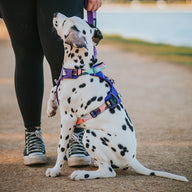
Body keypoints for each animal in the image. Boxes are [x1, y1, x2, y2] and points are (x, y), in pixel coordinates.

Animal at [45, 12, 188, 182]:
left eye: (65, 20)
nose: (55, 13)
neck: (80, 68)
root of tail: (132, 158)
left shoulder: (68, 118)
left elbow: (61, 148)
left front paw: (55, 170)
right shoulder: (60, 89)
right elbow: (54, 88)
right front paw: (50, 107)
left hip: (90, 135)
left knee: (108, 171)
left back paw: (82, 174)